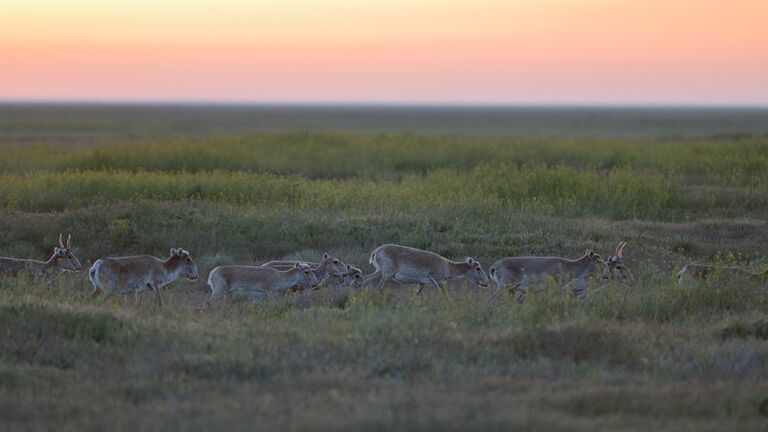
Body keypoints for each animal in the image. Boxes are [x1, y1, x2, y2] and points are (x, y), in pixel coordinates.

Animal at [362, 243, 492, 294]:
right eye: (478, 268)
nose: (486, 283)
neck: (448, 266)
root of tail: (376, 251)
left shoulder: (421, 283)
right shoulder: (439, 282)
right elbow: (445, 296)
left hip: (379, 272)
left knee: (365, 279)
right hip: (386, 274)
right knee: (379, 287)